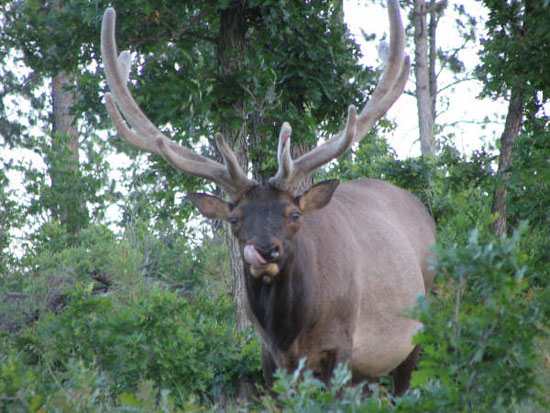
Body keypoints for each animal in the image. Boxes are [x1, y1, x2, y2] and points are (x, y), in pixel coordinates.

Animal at [101, 0, 438, 396]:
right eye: (235, 219)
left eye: (294, 214)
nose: (265, 250)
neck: (289, 334)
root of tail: (423, 210)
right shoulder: (268, 357)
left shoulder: (342, 344)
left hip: (417, 326)